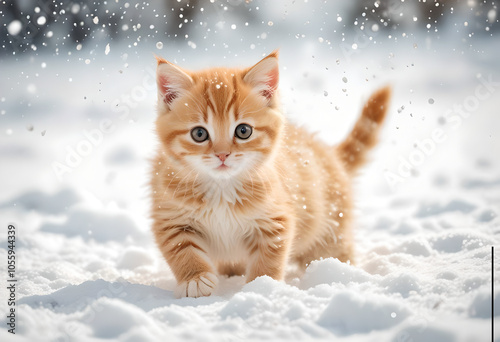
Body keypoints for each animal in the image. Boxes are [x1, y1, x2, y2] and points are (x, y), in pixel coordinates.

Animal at [149, 50, 390, 296]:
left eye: (243, 131)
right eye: (199, 134)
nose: (223, 154)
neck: (222, 189)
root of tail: (329, 153)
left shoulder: (276, 220)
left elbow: (269, 258)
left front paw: (262, 285)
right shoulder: (169, 217)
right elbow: (181, 249)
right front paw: (195, 279)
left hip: (331, 230)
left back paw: (341, 274)